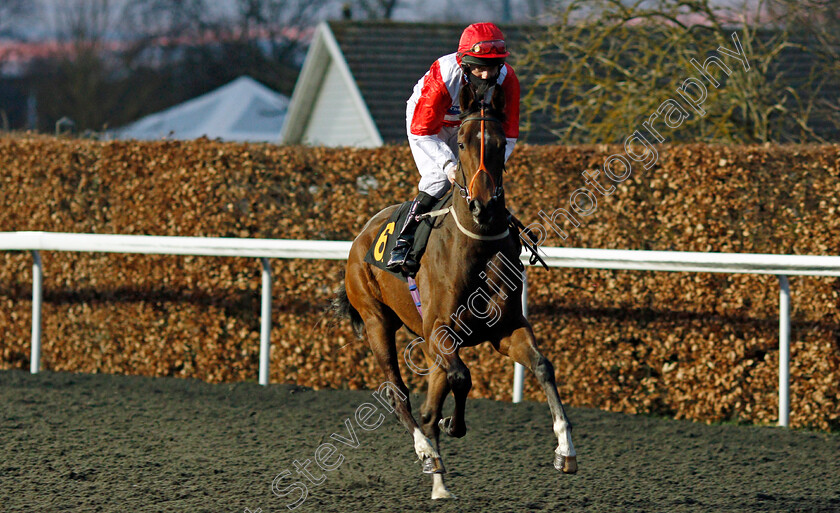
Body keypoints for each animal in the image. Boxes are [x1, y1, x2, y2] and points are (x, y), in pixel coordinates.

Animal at [334, 83, 576, 496]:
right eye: (461, 143)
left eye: (499, 143)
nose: (483, 205)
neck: (477, 247)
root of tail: (361, 235)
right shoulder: (439, 333)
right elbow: (463, 378)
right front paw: (454, 426)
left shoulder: (505, 329)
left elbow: (543, 366)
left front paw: (565, 450)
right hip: (376, 321)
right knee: (400, 395)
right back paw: (427, 453)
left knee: (429, 404)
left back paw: (439, 482)